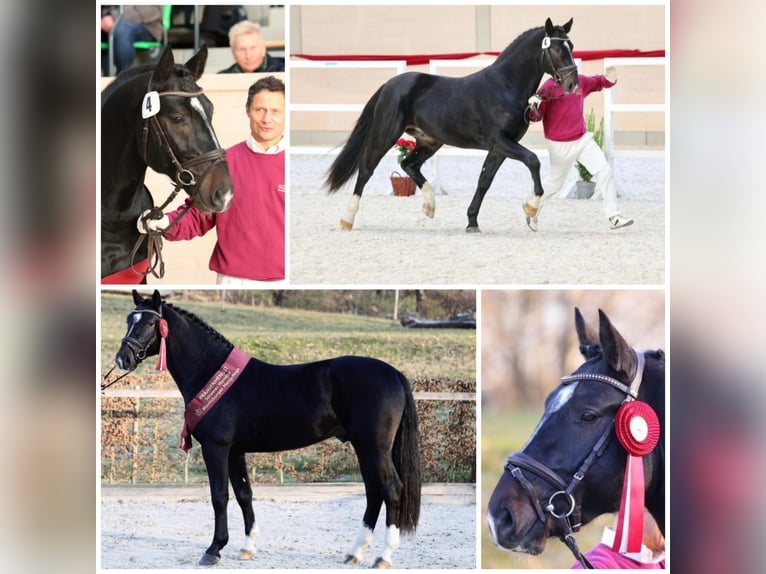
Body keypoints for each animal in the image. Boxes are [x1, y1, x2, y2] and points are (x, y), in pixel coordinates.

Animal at [112, 290, 422, 568]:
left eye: (149, 323)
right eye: (129, 319)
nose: (122, 359)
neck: (210, 371)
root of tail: (394, 373)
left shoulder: (216, 448)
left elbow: (219, 496)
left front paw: (213, 550)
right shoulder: (235, 451)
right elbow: (244, 494)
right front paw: (247, 547)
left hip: (374, 447)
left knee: (391, 489)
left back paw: (383, 557)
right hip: (364, 447)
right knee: (373, 492)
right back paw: (355, 553)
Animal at [325, 18, 578, 233]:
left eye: (572, 46)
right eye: (556, 49)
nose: (572, 84)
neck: (505, 87)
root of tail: (390, 84)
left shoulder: (500, 147)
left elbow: (484, 181)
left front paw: (472, 222)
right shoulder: (500, 141)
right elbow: (533, 161)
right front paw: (531, 209)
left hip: (429, 141)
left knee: (409, 164)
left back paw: (429, 206)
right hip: (386, 134)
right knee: (367, 169)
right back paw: (347, 220)